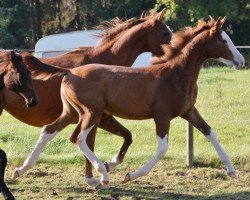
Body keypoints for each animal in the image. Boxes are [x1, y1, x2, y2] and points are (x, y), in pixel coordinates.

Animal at [15, 16, 244, 188]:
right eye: (223, 41)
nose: (241, 61)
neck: (175, 74)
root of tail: (69, 71)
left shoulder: (188, 111)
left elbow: (209, 132)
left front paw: (231, 170)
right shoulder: (162, 115)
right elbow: (162, 148)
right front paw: (130, 175)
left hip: (72, 112)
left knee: (50, 130)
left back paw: (20, 169)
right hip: (92, 112)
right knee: (79, 138)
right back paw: (103, 175)